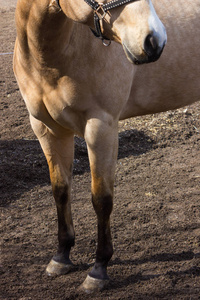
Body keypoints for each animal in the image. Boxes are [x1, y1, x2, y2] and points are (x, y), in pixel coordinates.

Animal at [13, 0, 199, 292]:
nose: (155, 40)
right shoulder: (47, 130)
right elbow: (60, 191)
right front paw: (61, 256)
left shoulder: (101, 128)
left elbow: (102, 199)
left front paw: (98, 269)